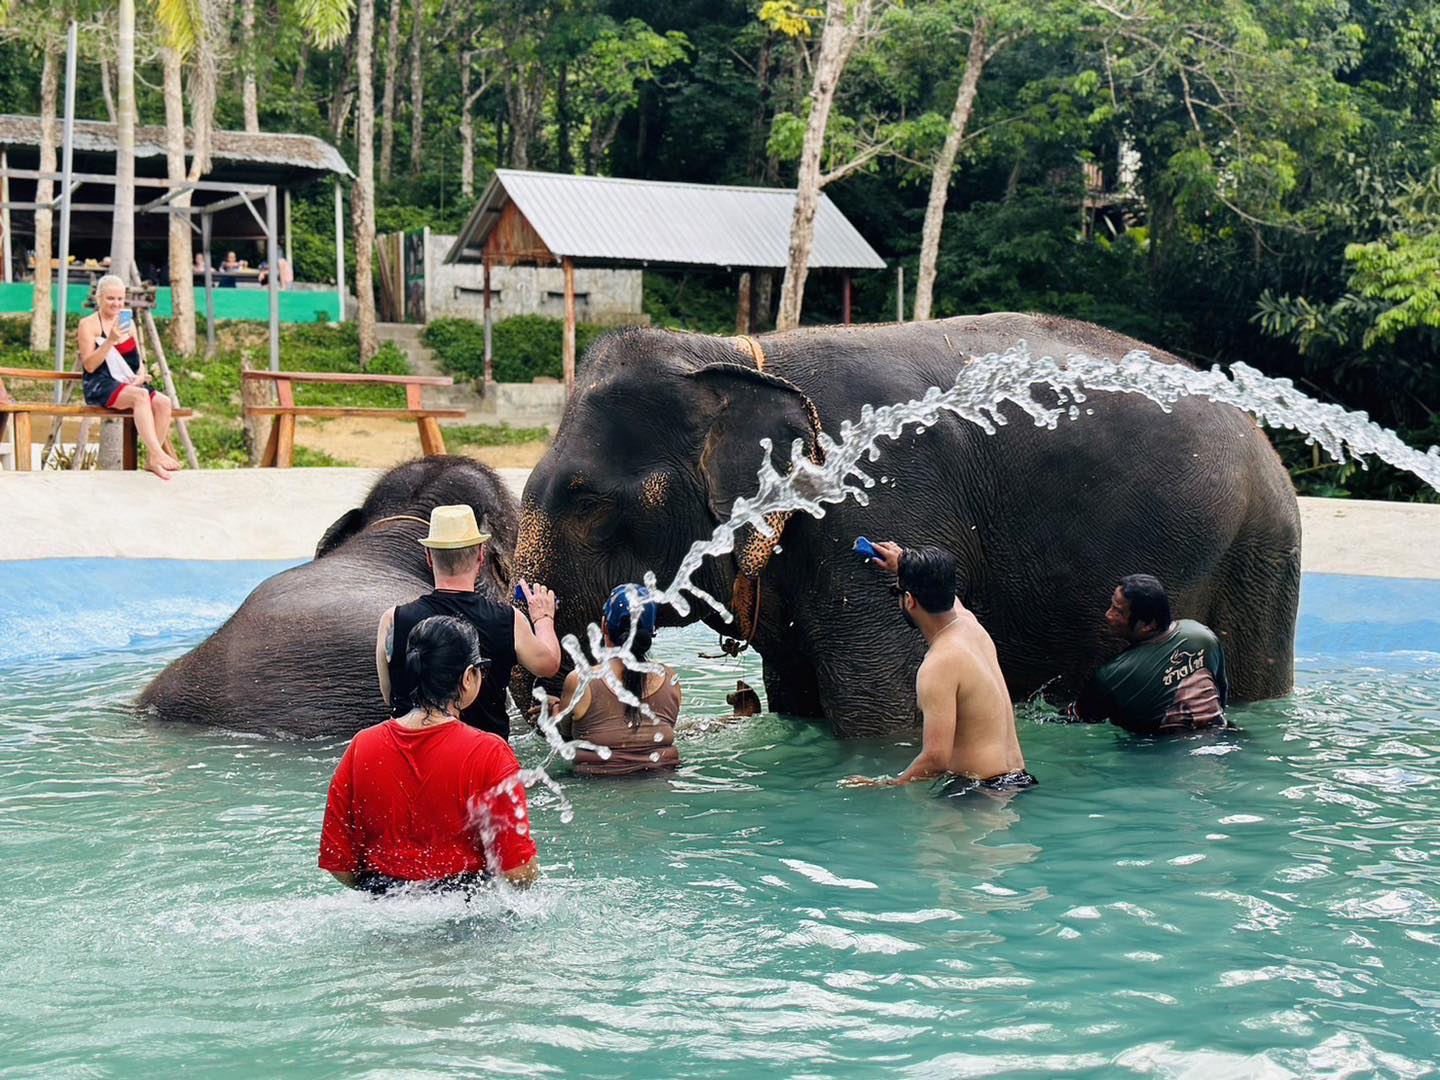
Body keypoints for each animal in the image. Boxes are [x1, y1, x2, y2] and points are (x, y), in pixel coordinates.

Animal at [511, 313, 1301, 737]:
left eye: (586, 500)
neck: (734, 353)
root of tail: (1265, 442)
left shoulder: (876, 503)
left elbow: (884, 714)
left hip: (1258, 552)